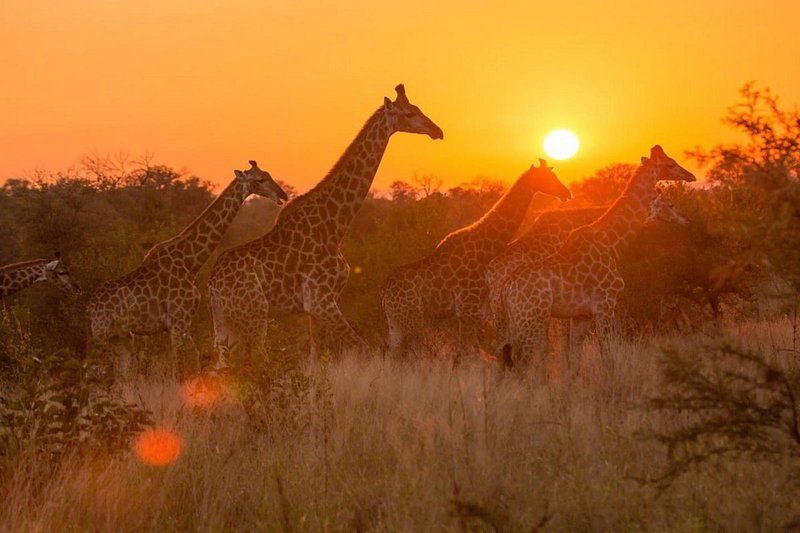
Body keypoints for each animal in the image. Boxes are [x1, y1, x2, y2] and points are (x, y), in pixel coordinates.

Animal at [86, 160, 288, 366]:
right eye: (260, 179)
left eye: (268, 175)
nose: (283, 195)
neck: (191, 262)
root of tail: (91, 307)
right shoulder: (178, 322)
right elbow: (182, 364)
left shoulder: (180, 324)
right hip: (102, 332)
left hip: (122, 336)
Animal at [206, 84, 444, 366]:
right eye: (409, 113)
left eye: (417, 108)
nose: (437, 131)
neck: (335, 227)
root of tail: (211, 286)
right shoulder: (321, 301)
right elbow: (364, 349)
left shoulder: (316, 307)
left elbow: (315, 358)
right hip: (254, 314)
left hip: (225, 322)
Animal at [380, 158, 572, 358]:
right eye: (549, 177)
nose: (567, 193)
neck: (486, 248)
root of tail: (384, 292)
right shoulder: (469, 309)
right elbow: (475, 350)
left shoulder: (470, 312)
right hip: (411, 321)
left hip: (396, 324)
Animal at [500, 143, 692, 372]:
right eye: (670, 164)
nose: (690, 175)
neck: (611, 243)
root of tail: (507, 291)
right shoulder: (605, 305)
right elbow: (607, 355)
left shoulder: (580, 315)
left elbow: (574, 361)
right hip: (532, 319)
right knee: (522, 364)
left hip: (518, 322)